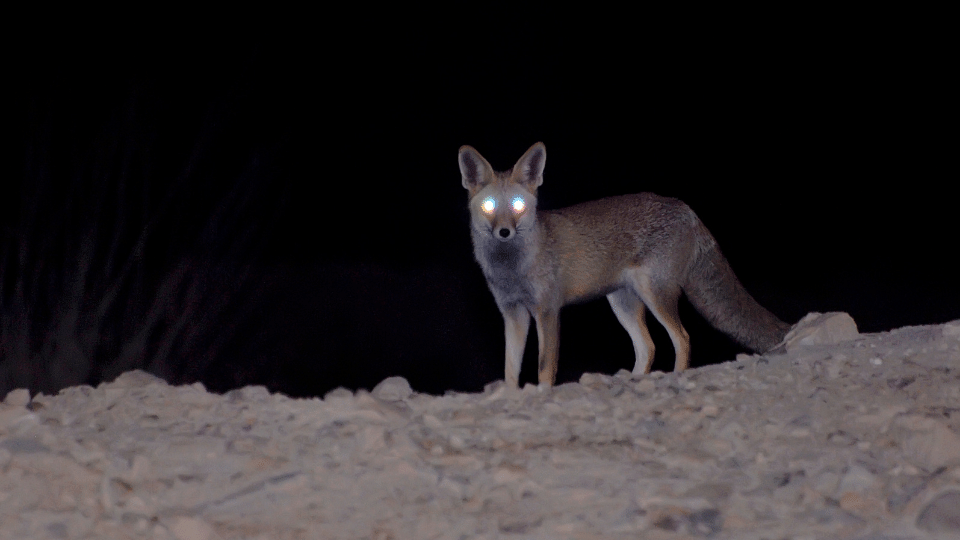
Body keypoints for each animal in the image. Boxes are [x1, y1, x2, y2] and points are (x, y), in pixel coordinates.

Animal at [462, 142, 792, 388]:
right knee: (648, 347)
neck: (512, 270)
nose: (504, 232)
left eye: (518, 206)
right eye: (489, 207)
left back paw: (675, 376)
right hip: (622, 303)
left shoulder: (547, 311)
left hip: (654, 294)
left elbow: (544, 367)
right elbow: (510, 370)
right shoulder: (513, 313)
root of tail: (686, 208)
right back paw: (632, 380)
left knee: (682, 338)